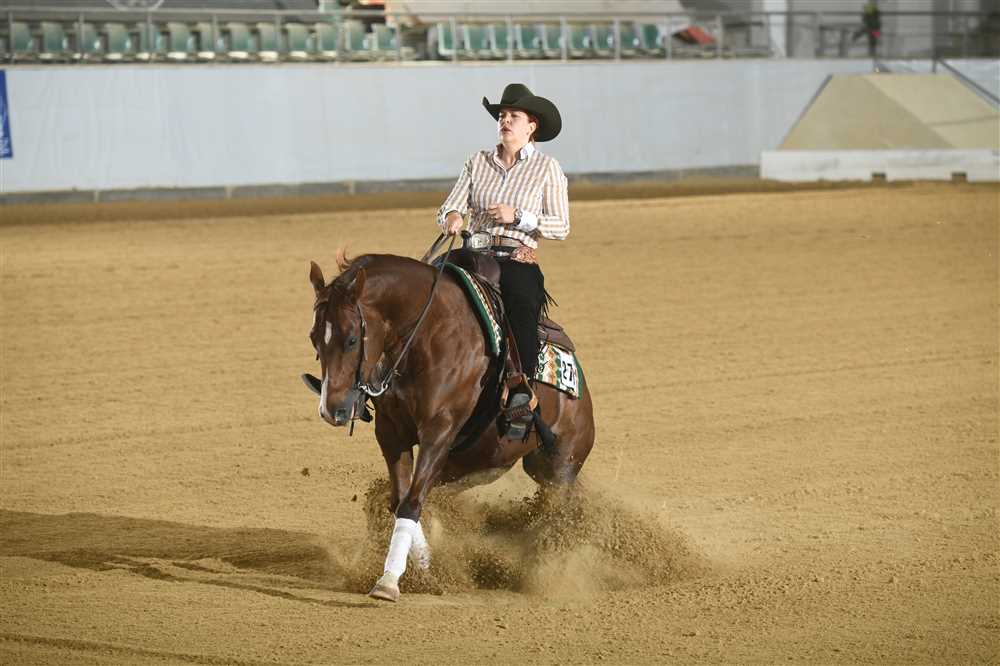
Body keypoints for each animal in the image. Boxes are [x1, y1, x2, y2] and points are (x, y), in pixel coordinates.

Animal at [306, 250, 595, 602]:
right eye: (314, 338)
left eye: (350, 339)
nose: (331, 409)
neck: (425, 335)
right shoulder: (391, 432)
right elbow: (401, 499)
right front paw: (426, 570)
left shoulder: (439, 430)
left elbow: (412, 501)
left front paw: (389, 581)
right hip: (481, 463)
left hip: (560, 465)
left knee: (558, 514)